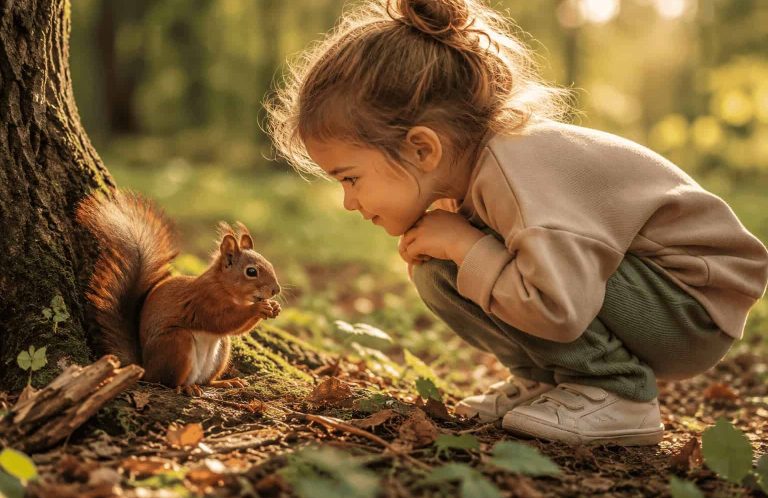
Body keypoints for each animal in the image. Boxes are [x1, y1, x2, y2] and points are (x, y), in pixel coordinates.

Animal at [76, 190, 282, 396]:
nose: (276, 290)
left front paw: (274, 307)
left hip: (222, 349)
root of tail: (145, 368)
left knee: (206, 380)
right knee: (167, 381)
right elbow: (223, 321)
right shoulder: (203, 301)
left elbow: (236, 329)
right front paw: (258, 308)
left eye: (270, 264)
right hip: (177, 343)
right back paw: (186, 387)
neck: (226, 288)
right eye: (251, 271)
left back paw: (223, 382)